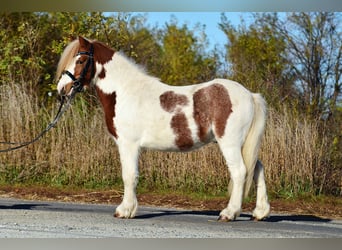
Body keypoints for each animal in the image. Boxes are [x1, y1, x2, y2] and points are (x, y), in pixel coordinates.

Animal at [55, 35, 270, 221]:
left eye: (81, 60)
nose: (61, 89)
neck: (124, 92)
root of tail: (250, 95)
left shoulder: (128, 144)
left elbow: (129, 175)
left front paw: (125, 210)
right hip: (243, 144)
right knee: (257, 168)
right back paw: (260, 212)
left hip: (230, 143)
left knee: (240, 171)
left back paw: (229, 213)